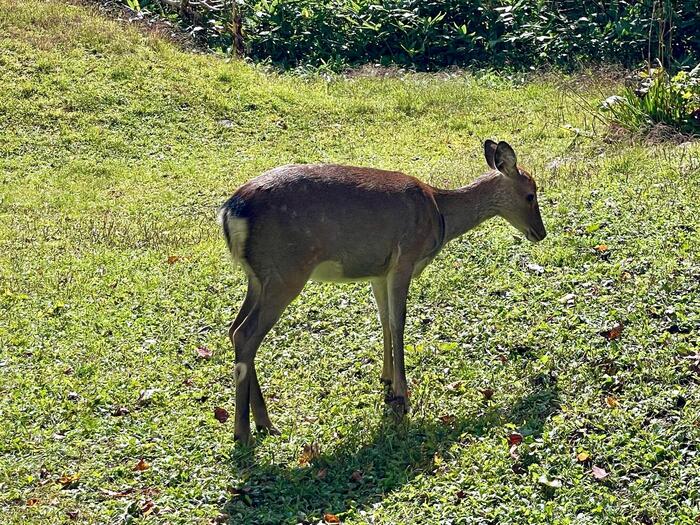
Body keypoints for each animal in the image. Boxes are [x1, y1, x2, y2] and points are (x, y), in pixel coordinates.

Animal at [219, 139, 548, 442]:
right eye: (531, 194)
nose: (541, 233)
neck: (439, 214)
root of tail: (230, 212)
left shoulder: (379, 271)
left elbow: (384, 321)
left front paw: (387, 381)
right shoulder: (405, 258)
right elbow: (398, 321)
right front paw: (403, 395)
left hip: (258, 278)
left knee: (235, 329)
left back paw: (261, 422)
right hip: (286, 271)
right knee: (246, 334)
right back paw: (245, 431)